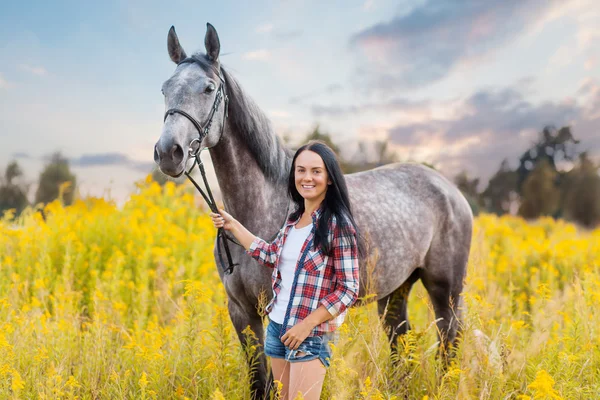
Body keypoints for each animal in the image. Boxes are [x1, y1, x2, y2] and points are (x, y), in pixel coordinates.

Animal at [155, 24, 474, 400]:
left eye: (208, 88)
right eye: (165, 89)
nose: (168, 152)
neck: (264, 206)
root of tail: (449, 189)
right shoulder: (242, 312)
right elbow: (258, 382)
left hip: (446, 289)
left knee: (449, 340)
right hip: (396, 290)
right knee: (401, 341)